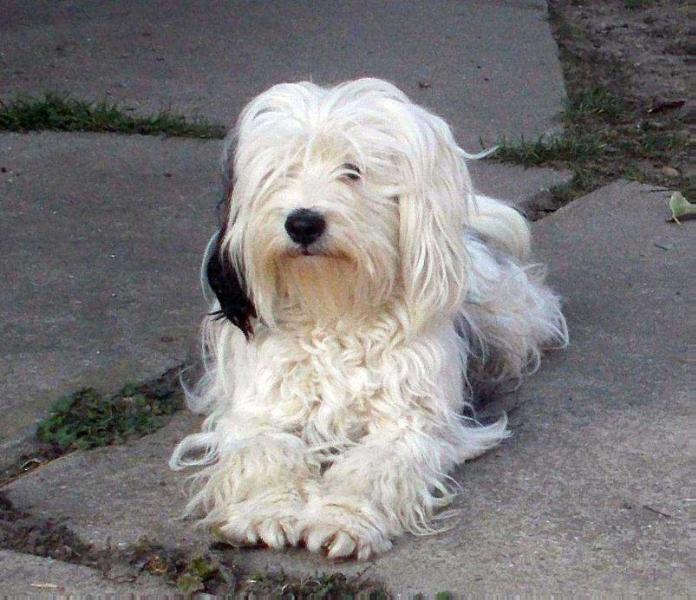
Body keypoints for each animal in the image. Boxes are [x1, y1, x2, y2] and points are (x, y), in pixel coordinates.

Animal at [171, 78, 568, 556]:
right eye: (283, 170)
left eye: (353, 171)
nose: (303, 223)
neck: (334, 310)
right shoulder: (261, 413)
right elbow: (265, 455)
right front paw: (265, 511)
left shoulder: (406, 423)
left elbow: (370, 469)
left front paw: (342, 519)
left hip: (508, 318)